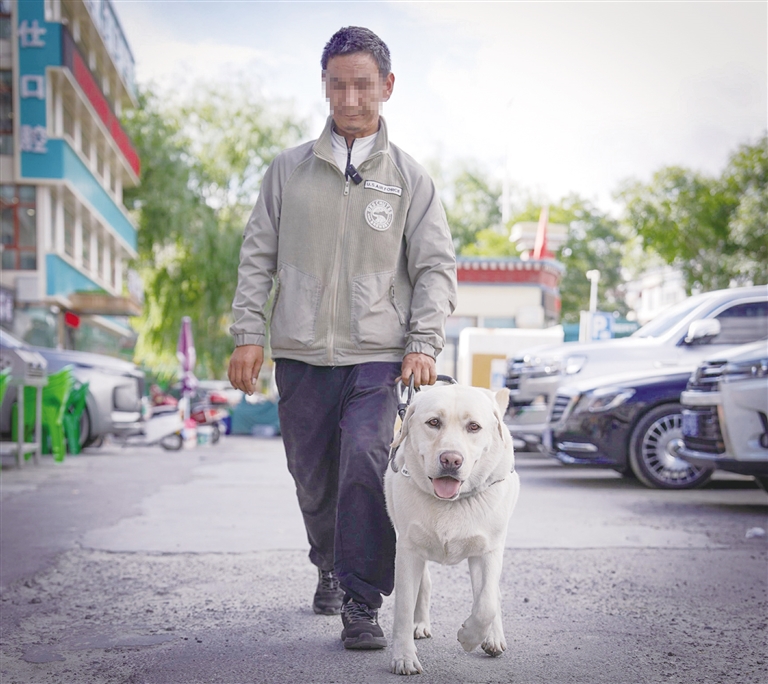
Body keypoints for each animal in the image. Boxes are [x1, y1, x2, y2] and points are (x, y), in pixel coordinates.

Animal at [384, 384, 520, 676]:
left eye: (474, 427)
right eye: (434, 422)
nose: (451, 459)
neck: (451, 503)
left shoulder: (488, 551)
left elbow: (487, 603)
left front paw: (470, 637)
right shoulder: (407, 551)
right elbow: (403, 607)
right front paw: (404, 658)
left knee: (492, 594)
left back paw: (493, 637)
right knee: (424, 584)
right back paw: (420, 624)